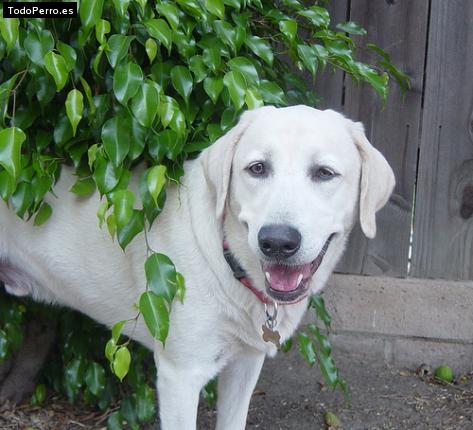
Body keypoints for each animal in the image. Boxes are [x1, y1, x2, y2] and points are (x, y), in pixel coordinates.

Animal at [0, 105, 394, 430]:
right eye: (257, 168)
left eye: (325, 173)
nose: (278, 242)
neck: (230, 261)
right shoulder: (180, 376)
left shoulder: (245, 364)